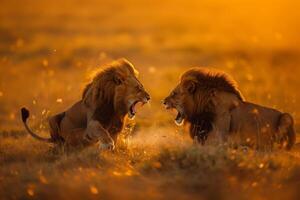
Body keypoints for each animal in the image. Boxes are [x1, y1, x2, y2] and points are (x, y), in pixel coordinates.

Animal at [20, 58, 150, 149]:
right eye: (138, 88)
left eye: (141, 87)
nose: (149, 97)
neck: (115, 108)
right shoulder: (91, 124)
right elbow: (100, 129)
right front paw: (107, 144)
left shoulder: (115, 129)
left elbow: (114, 138)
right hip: (52, 119)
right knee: (57, 141)